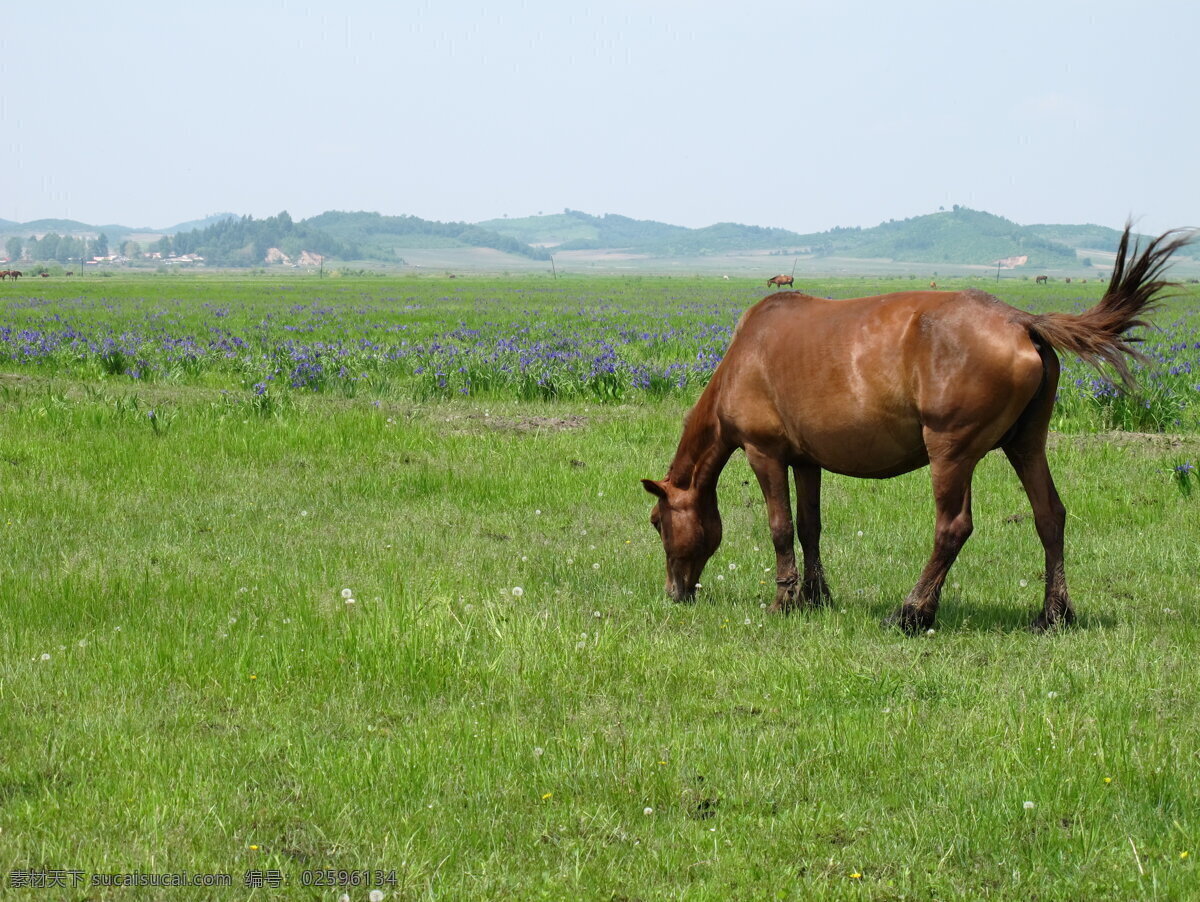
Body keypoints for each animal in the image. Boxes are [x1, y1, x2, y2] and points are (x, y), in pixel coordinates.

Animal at [643, 225, 1195, 633]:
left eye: (657, 522)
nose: (675, 593)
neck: (747, 354)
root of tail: (1020, 320)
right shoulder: (806, 461)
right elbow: (809, 525)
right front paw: (815, 596)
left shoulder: (765, 453)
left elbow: (780, 528)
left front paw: (784, 601)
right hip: (1025, 445)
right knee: (1050, 517)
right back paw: (1053, 615)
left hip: (950, 452)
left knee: (952, 528)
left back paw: (912, 612)